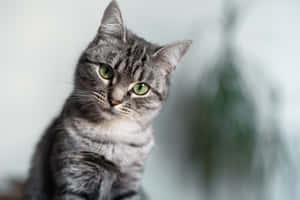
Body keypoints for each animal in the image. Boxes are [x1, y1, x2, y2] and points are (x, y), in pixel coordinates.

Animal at [21, 0, 191, 199]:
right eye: (105, 71)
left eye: (141, 88)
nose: (114, 100)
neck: (112, 136)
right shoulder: (74, 175)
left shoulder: (129, 182)